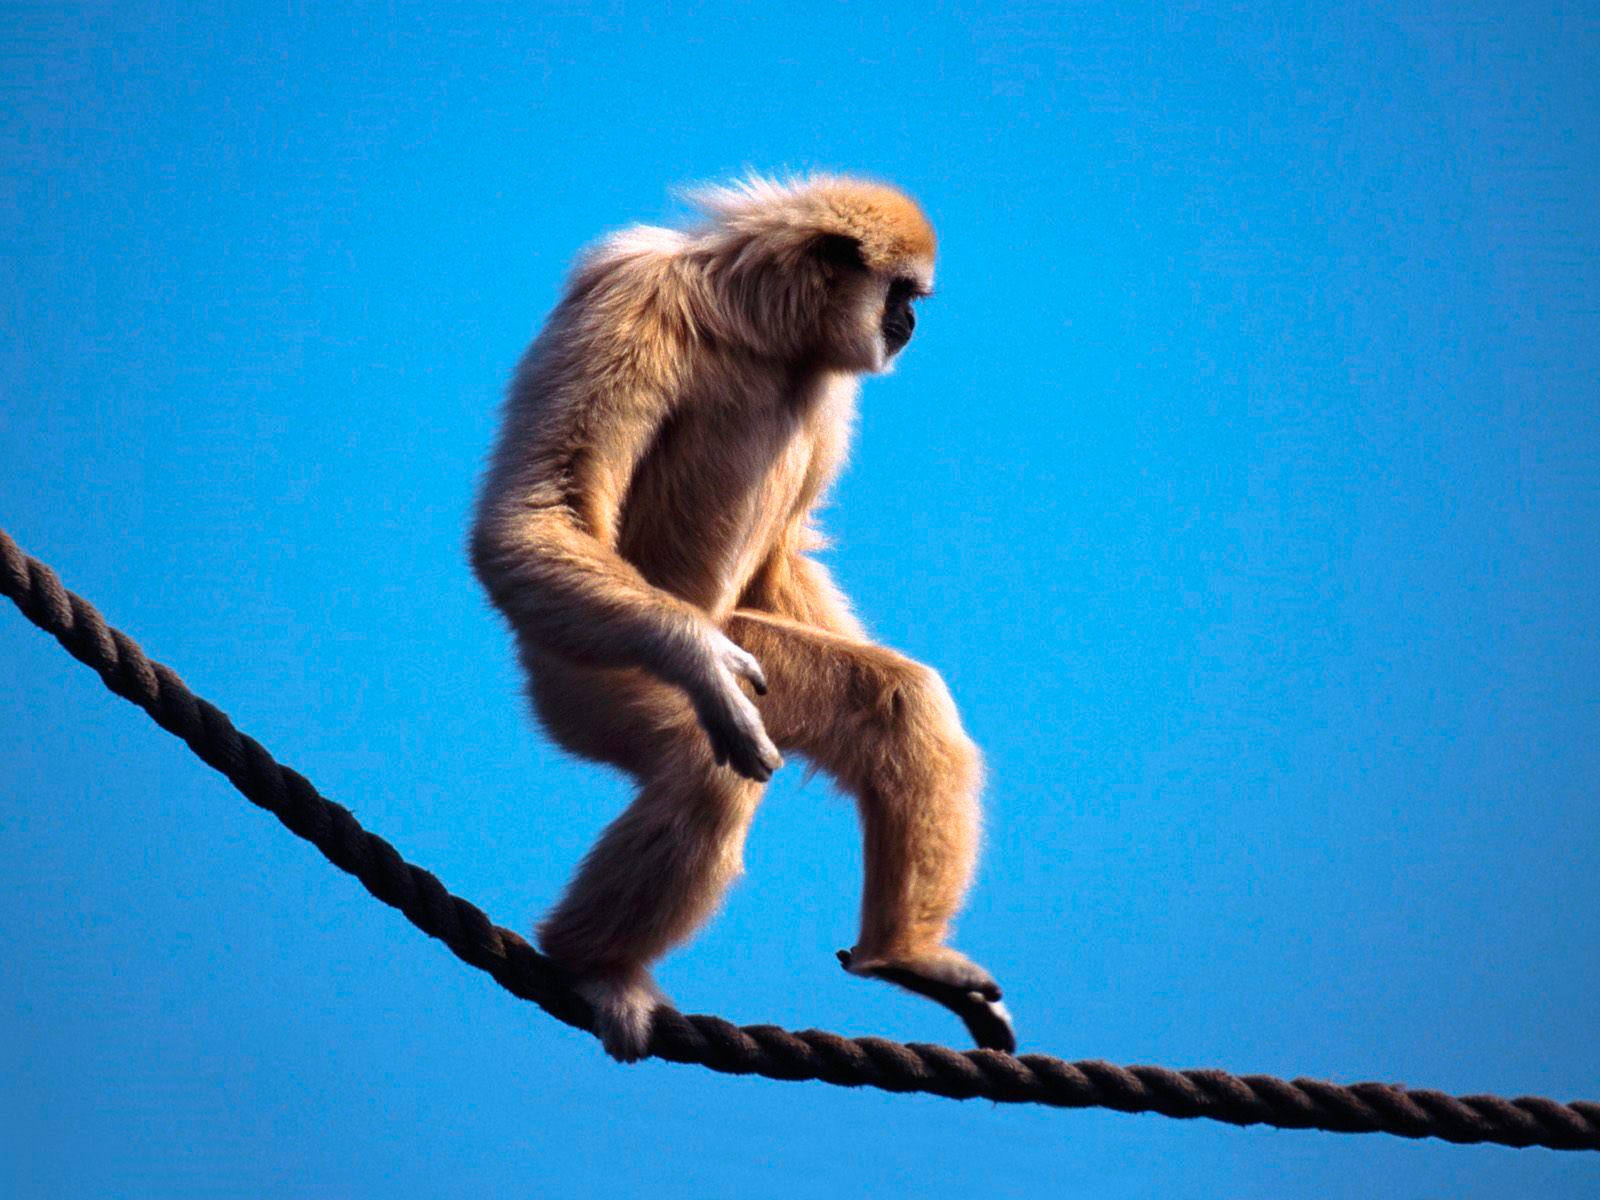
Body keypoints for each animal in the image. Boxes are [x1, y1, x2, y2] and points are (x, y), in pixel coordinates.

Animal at [469, 174, 1014, 1061]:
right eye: (901, 294)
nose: (909, 323)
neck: (754, 326)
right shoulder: (629, 295)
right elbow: (533, 515)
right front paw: (700, 661)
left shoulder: (828, 384)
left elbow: (783, 557)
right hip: (584, 664)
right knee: (706, 768)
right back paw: (592, 966)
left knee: (899, 701)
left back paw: (902, 955)